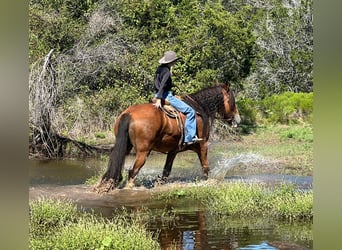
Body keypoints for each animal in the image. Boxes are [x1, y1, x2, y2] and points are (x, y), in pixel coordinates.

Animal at [95, 82, 240, 191]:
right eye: (232, 100)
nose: (237, 119)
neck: (200, 108)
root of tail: (128, 114)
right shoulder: (202, 145)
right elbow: (205, 167)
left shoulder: (173, 151)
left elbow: (166, 171)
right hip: (143, 152)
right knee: (132, 172)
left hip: (124, 147)